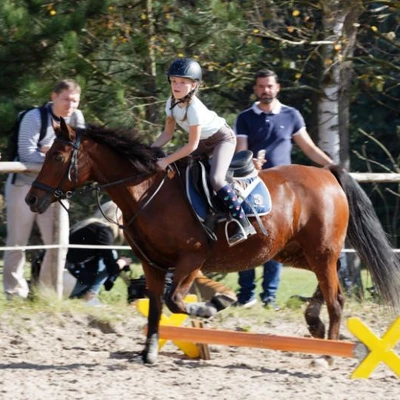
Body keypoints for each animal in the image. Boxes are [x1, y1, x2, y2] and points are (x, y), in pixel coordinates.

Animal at [25, 118, 400, 362]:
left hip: (320, 250)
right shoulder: (152, 263)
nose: (31, 199)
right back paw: (314, 322)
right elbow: (156, 305)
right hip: (295, 252)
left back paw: (327, 354)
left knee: (336, 297)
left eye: (57, 156)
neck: (146, 193)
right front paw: (148, 352)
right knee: (330, 287)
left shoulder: (192, 258)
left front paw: (214, 304)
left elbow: (176, 300)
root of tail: (327, 174)